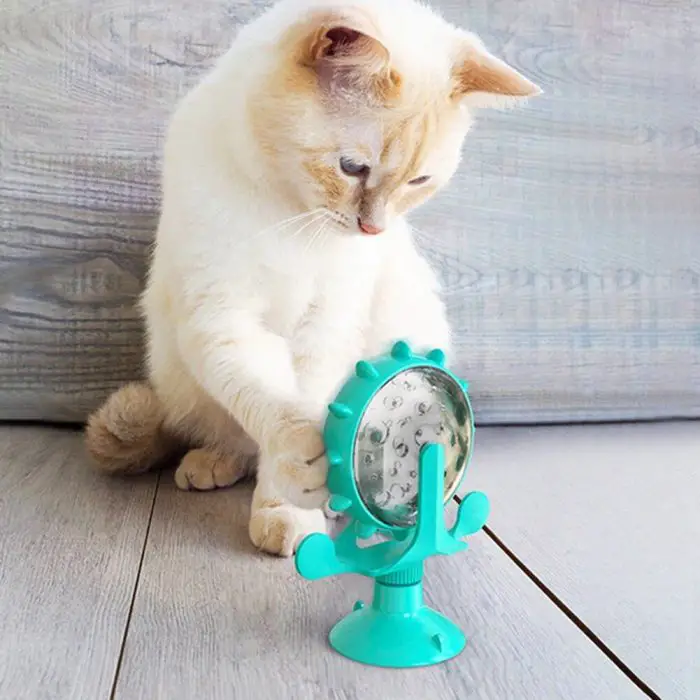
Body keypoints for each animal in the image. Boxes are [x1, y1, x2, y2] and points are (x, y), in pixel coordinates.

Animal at [85, 0, 540, 556]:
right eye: (352, 168)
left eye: (418, 181)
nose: (373, 228)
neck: (292, 217)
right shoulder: (223, 319)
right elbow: (272, 405)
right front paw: (305, 470)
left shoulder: (326, 325)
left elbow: (314, 405)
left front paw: (294, 508)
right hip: (178, 372)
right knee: (233, 437)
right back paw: (214, 463)